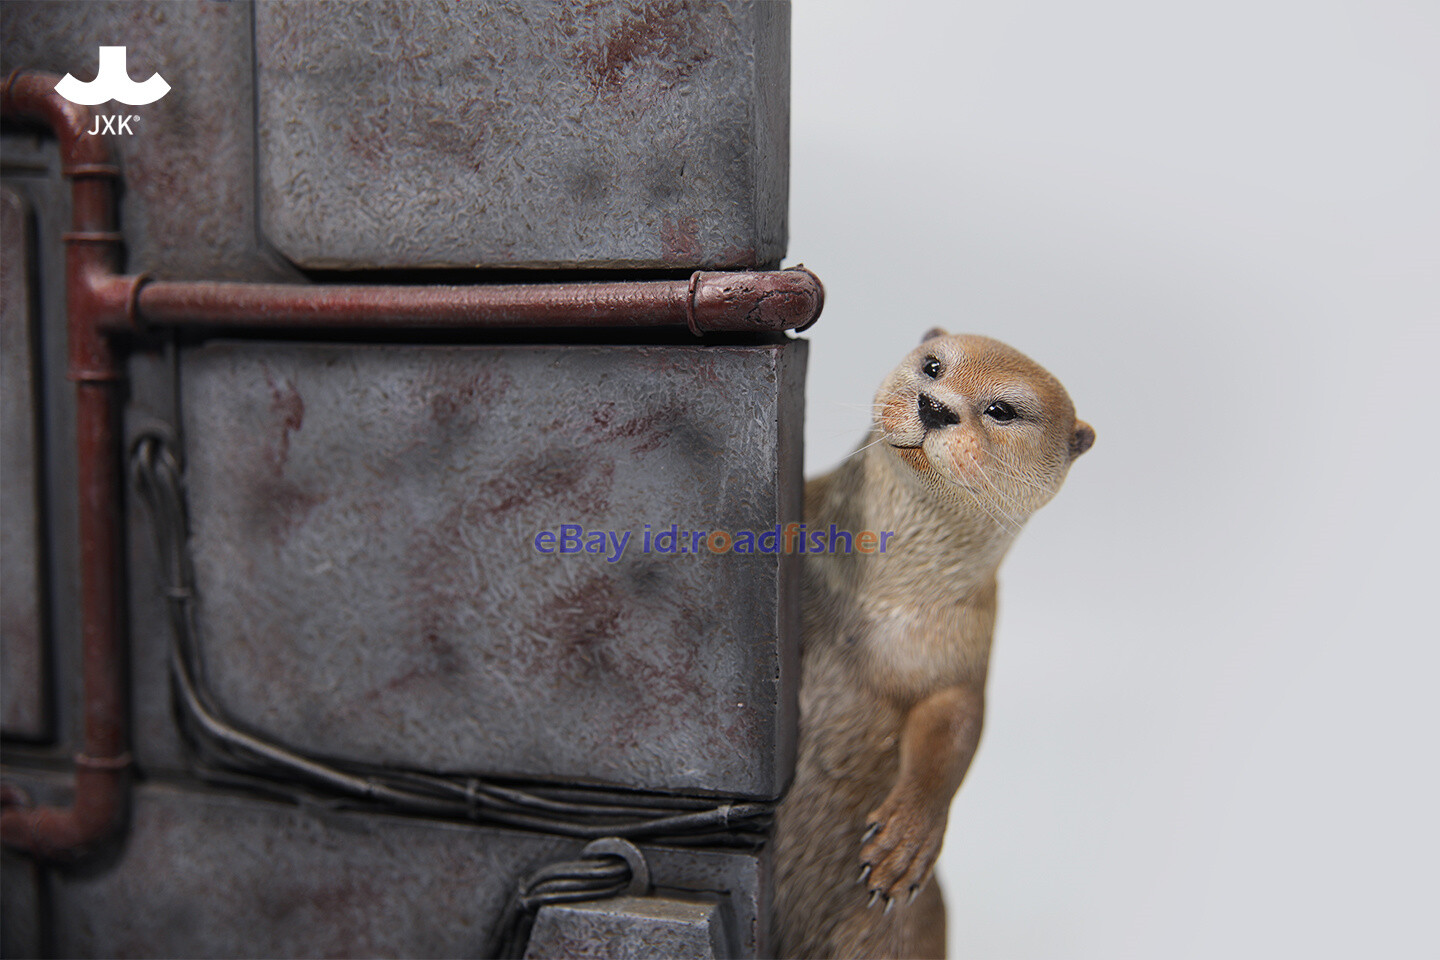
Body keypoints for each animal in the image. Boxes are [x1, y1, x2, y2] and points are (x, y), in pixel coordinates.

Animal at [772, 330, 1094, 959]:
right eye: (933, 366)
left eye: (1002, 410)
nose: (936, 406)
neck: (878, 601)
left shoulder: (964, 650)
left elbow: (956, 727)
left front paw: (907, 839)